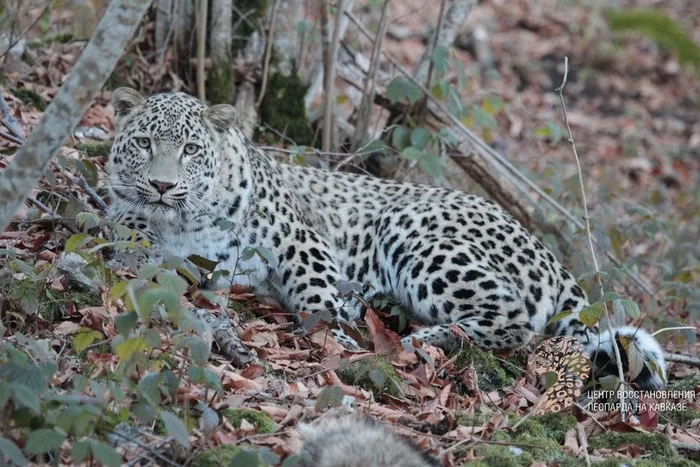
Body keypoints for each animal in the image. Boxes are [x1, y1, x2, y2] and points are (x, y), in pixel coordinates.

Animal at [105, 88, 668, 392]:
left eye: (190, 149)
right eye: (144, 143)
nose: (161, 184)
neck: (183, 222)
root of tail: (547, 252)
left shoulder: (300, 238)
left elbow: (317, 295)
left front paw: (335, 334)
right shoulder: (131, 223)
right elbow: (133, 245)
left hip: (414, 231)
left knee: (518, 323)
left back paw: (427, 339)